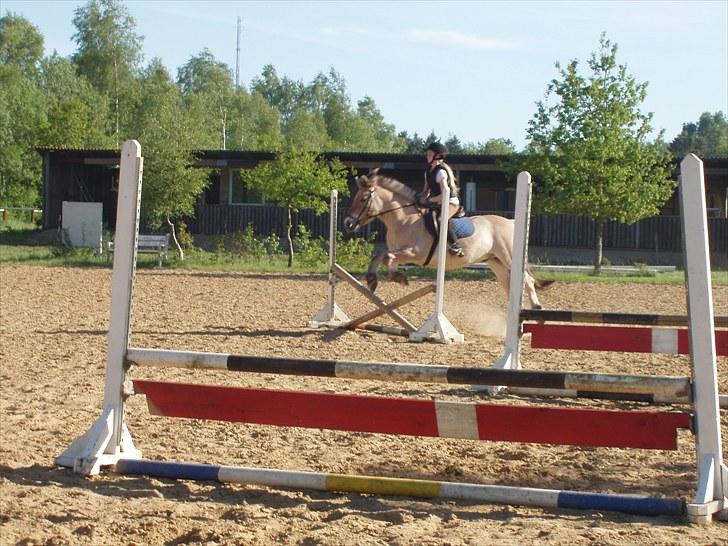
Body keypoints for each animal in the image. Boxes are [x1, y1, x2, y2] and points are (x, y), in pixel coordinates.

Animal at [342, 168, 552, 308]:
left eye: (363, 199)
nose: (348, 223)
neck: (403, 219)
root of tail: (511, 221)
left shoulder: (415, 254)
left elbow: (387, 257)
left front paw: (396, 277)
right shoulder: (398, 250)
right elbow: (381, 256)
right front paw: (375, 279)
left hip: (508, 258)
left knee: (527, 280)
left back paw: (535, 308)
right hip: (495, 262)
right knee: (510, 286)